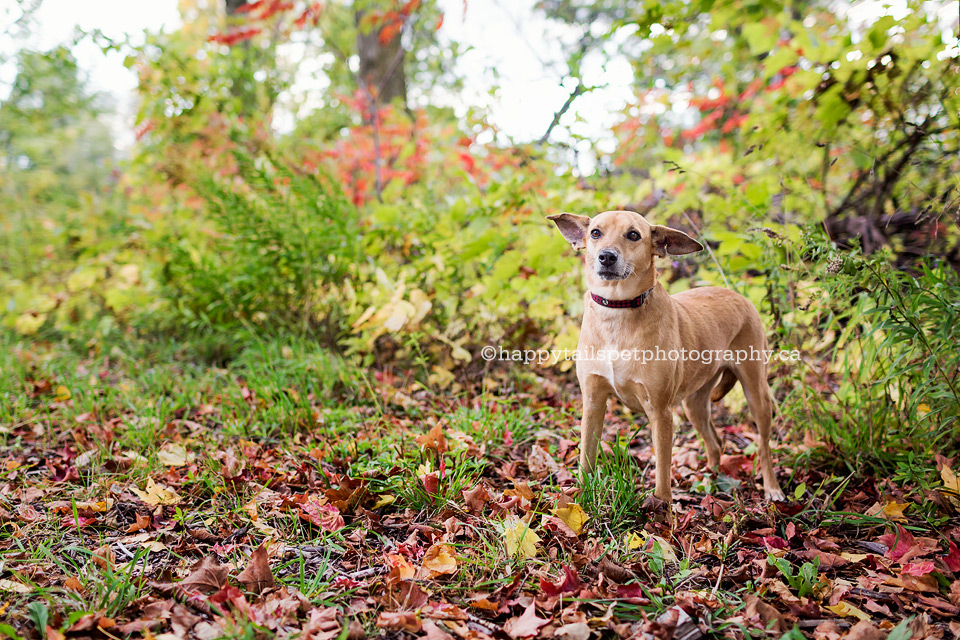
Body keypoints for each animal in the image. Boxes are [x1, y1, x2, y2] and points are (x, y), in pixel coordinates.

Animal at [544, 210, 784, 504]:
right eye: (595, 233)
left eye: (633, 235)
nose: (606, 256)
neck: (618, 311)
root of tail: (740, 296)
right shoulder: (592, 402)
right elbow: (586, 458)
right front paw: (580, 498)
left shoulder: (660, 412)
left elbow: (662, 471)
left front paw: (662, 509)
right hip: (694, 404)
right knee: (715, 443)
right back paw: (709, 482)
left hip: (756, 392)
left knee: (764, 445)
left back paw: (772, 488)